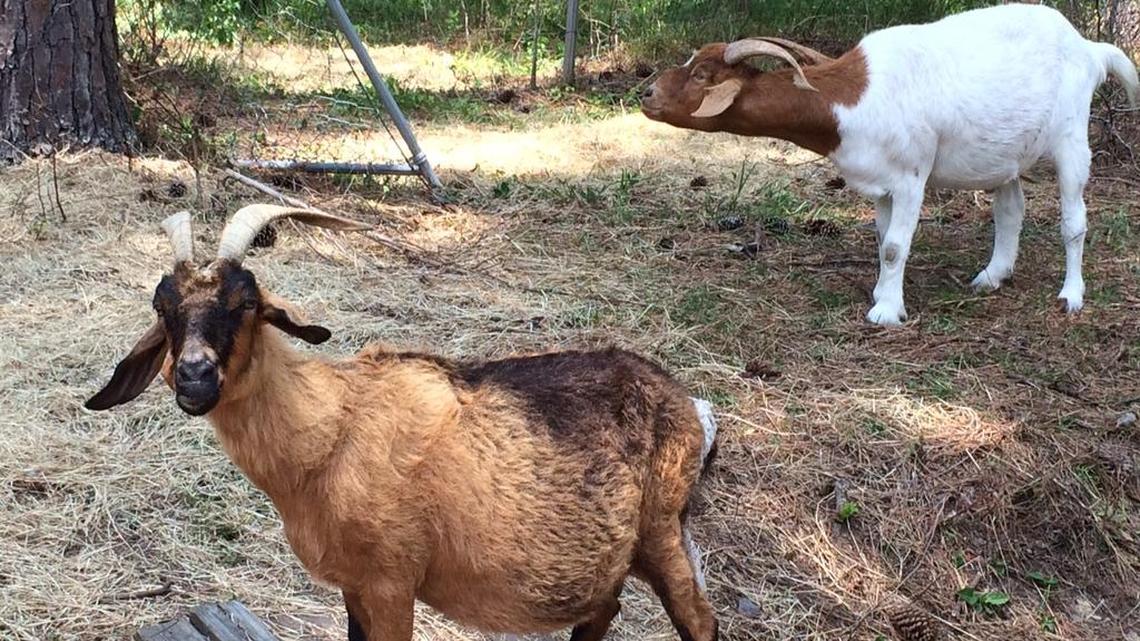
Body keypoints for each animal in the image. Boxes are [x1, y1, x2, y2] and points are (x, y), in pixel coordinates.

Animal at [84, 205, 720, 641]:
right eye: (162, 308)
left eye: (245, 303)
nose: (193, 377)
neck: (330, 435)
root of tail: (683, 398)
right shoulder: (354, 586)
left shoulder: (392, 582)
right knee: (605, 609)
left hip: (662, 529)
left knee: (698, 619)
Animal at [641, 4, 1140, 325]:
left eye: (701, 75)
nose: (646, 93)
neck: (852, 97)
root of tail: (1090, 48)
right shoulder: (880, 182)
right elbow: (883, 239)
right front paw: (884, 293)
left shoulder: (910, 177)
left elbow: (896, 247)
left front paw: (885, 312)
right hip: (1002, 154)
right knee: (1010, 209)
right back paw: (991, 277)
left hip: (1072, 137)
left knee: (1074, 221)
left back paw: (1071, 296)